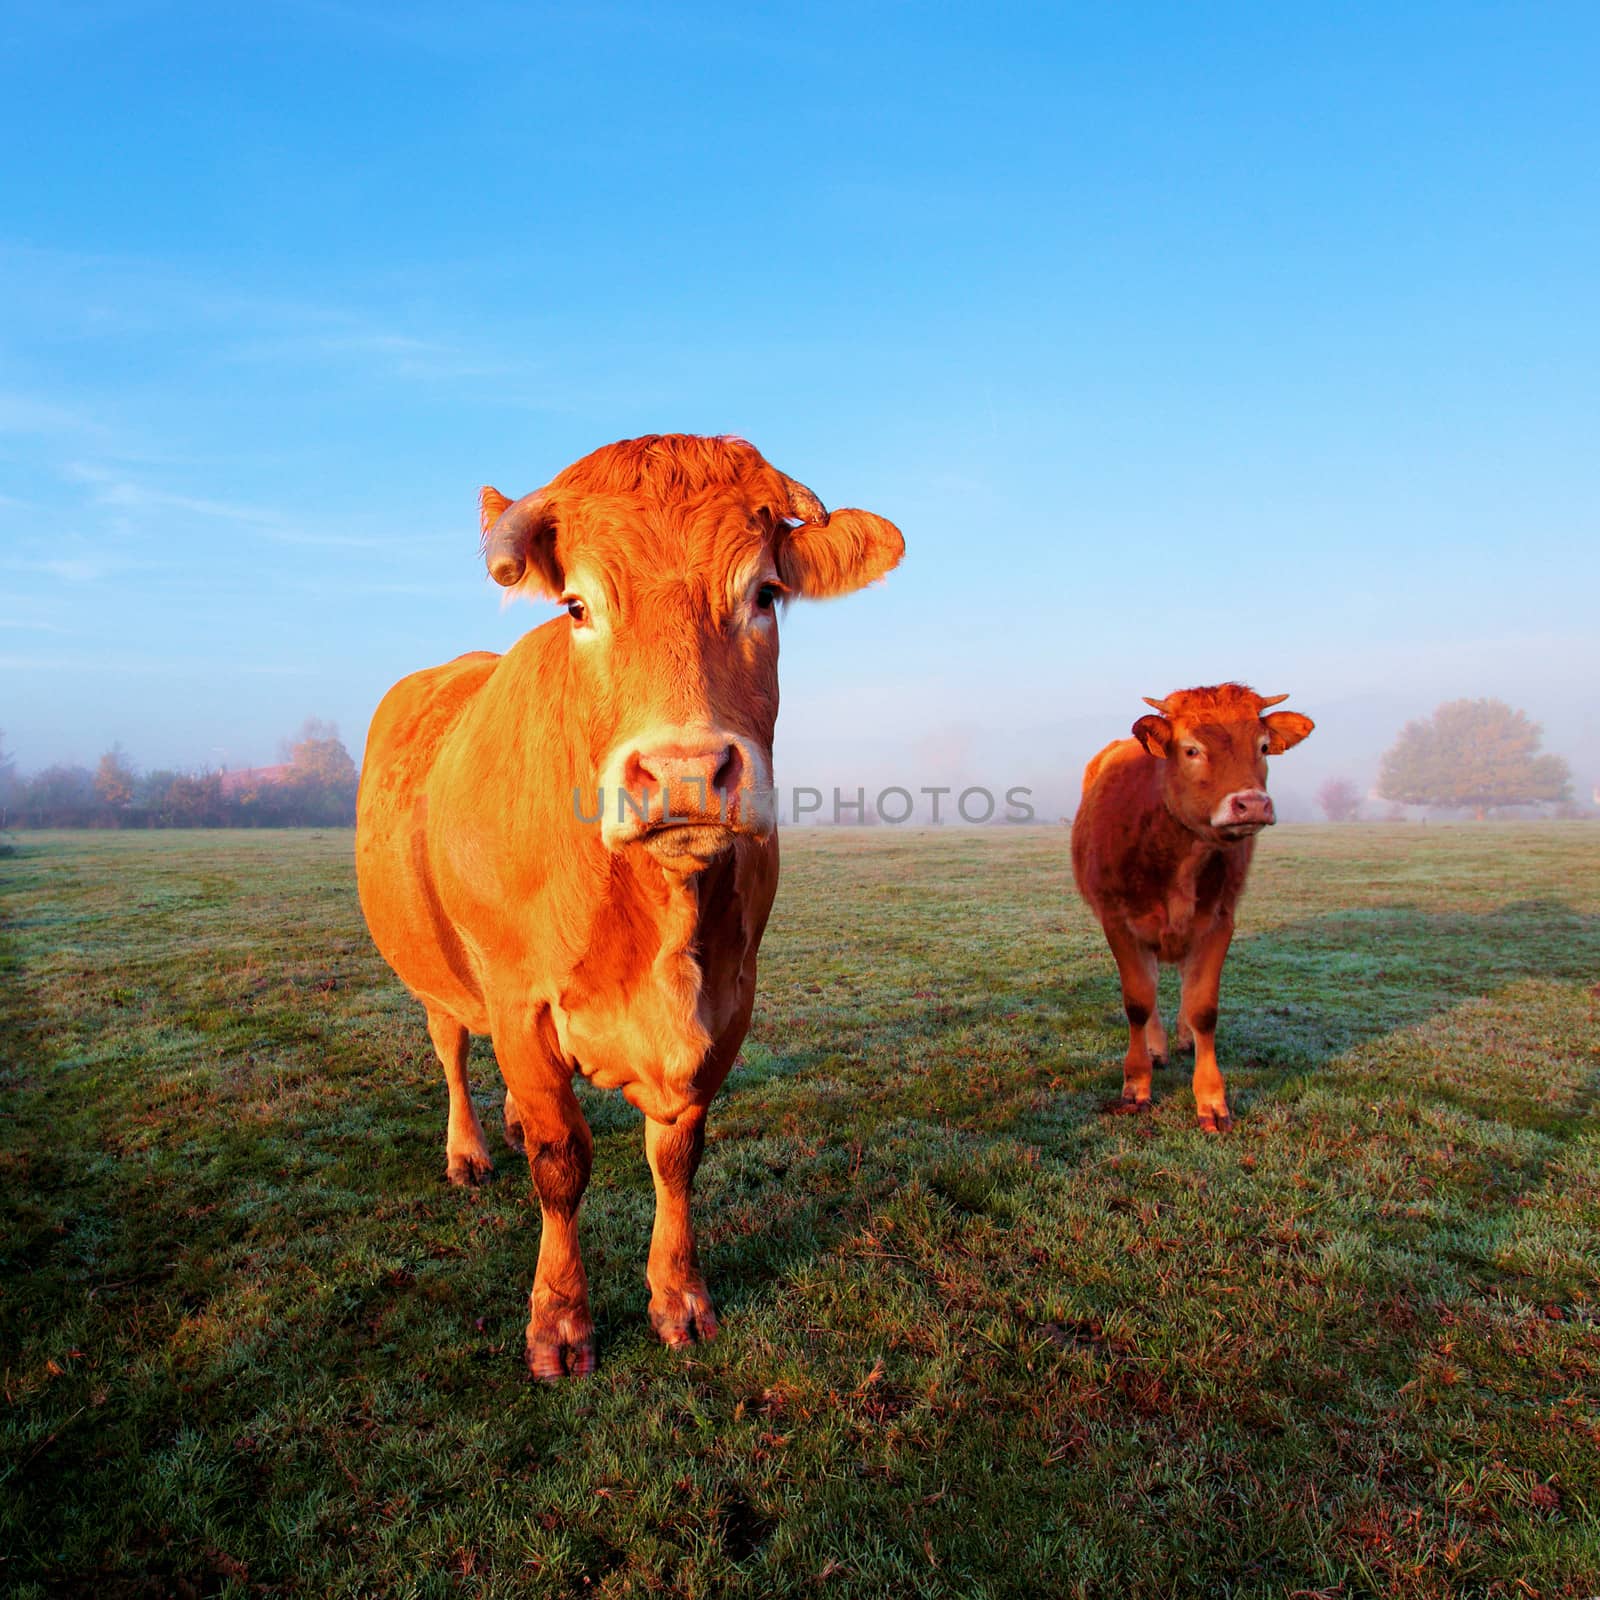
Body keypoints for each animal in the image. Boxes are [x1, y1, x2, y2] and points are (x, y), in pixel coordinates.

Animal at [355, 435, 902, 1376]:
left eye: (765, 594)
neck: (658, 924)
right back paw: (468, 1149)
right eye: (578, 605)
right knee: (453, 1049)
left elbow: (677, 1154)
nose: (685, 773)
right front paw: (559, 1319)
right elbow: (561, 1161)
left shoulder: (730, 1000)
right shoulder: (519, 998)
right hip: (439, 970)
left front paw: (678, 1296)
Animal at [1068, 681, 1318, 1132]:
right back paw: (1156, 1048)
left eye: (1263, 746)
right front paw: (1136, 1087)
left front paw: (1212, 1100)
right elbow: (1138, 1001)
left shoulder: (1219, 921)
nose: (1252, 803)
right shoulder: (1119, 923)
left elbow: (1204, 1008)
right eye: (1190, 749)